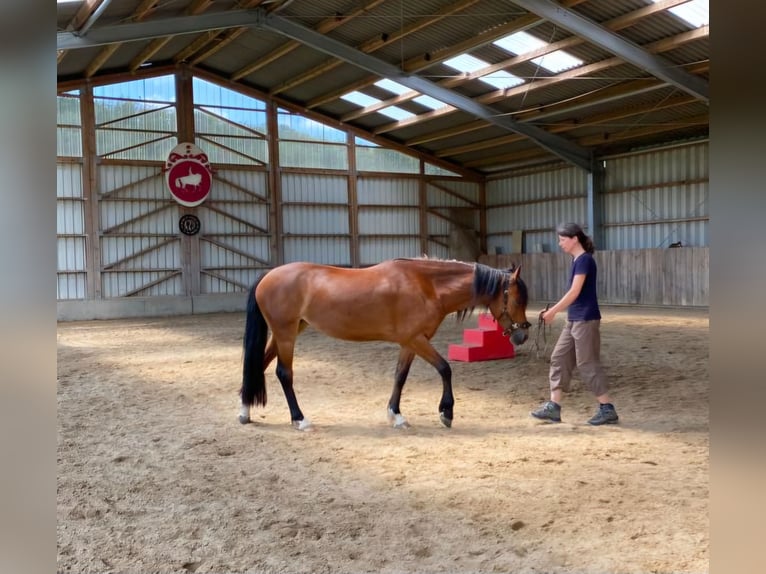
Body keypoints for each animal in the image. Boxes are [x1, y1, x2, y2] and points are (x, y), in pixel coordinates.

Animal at [238, 257, 531, 430]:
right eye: (517, 299)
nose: (523, 335)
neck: (426, 286)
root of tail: (268, 276)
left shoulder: (409, 343)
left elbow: (400, 376)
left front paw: (396, 414)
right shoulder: (416, 339)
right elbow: (445, 369)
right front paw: (446, 412)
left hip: (285, 333)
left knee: (257, 367)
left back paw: (245, 412)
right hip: (286, 335)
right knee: (283, 373)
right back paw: (299, 419)